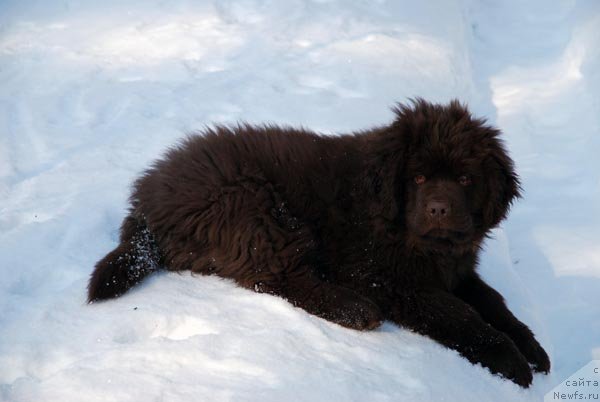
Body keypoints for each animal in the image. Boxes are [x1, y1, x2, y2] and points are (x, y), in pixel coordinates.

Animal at [88, 98, 548, 386]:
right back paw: (356, 310)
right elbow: (459, 314)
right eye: (417, 177)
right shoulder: (389, 279)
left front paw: (533, 348)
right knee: (280, 278)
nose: (438, 209)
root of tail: (147, 206)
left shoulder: (457, 269)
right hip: (254, 206)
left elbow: (494, 303)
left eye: (466, 179)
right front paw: (510, 360)